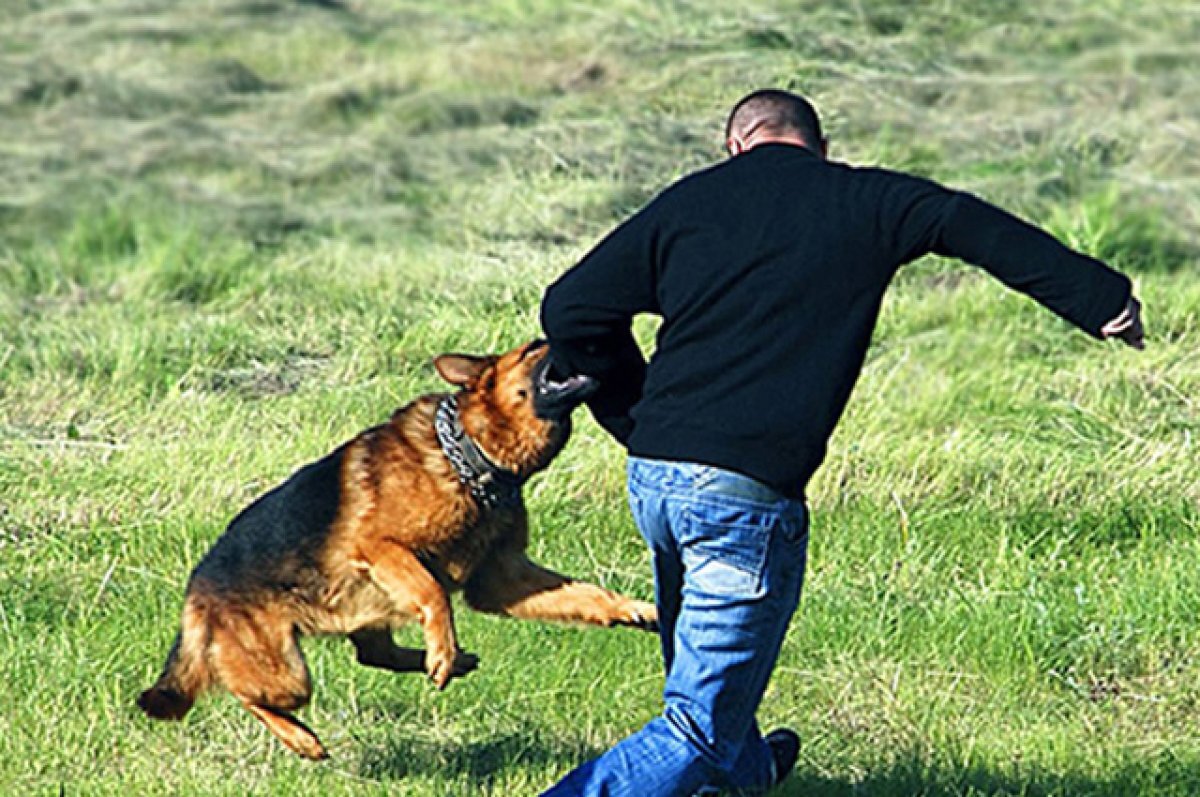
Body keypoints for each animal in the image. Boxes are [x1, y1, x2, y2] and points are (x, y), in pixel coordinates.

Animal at [138, 340, 657, 758]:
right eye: (534, 348)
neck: (468, 457)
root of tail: (198, 587)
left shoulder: (502, 580)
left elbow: (585, 594)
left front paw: (633, 608)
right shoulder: (381, 547)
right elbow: (434, 594)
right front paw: (442, 649)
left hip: (355, 619)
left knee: (372, 656)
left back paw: (443, 661)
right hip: (288, 675)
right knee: (246, 693)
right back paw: (303, 739)